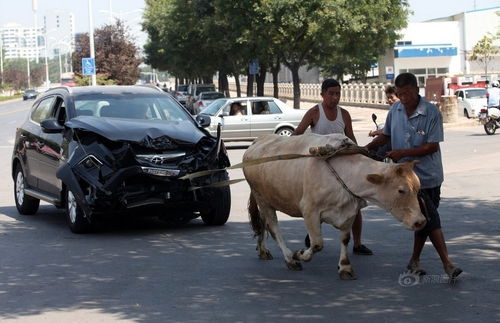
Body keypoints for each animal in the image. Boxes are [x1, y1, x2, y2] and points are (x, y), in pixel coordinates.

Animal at [242, 134, 426, 280]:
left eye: (418, 188)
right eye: (401, 190)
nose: (420, 221)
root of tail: (257, 141)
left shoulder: (350, 212)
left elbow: (345, 239)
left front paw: (345, 267)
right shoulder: (310, 210)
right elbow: (317, 244)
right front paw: (300, 254)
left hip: (266, 199)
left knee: (262, 223)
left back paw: (263, 250)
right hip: (262, 198)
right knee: (274, 228)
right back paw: (290, 259)